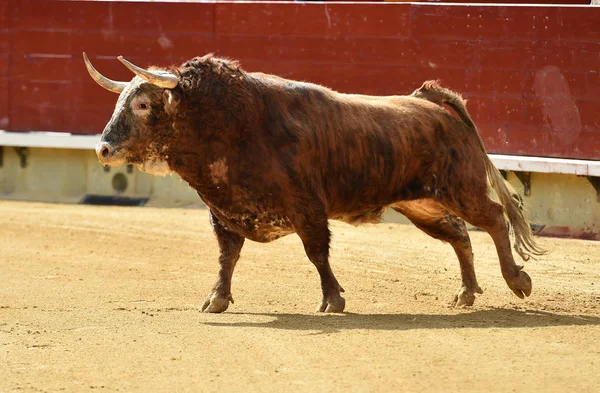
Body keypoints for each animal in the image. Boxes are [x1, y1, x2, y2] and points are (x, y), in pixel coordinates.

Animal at [82, 52, 548, 312]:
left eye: (143, 104)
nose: (103, 149)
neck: (230, 124)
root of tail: (429, 102)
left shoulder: (307, 208)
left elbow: (316, 253)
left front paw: (333, 300)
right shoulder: (224, 213)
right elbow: (227, 257)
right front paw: (216, 300)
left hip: (460, 189)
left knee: (494, 219)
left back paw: (517, 282)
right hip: (423, 204)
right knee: (460, 236)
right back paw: (466, 293)